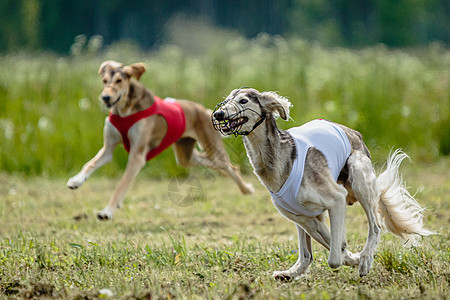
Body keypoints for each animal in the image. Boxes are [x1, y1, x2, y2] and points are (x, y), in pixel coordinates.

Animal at [68, 61, 255, 220]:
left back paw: (247, 189)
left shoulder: (137, 156)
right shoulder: (108, 148)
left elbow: (121, 184)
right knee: (207, 162)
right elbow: (90, 164)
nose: (105, 97)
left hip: (212, 148)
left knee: (231, 167)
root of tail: (205, 110)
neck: (124, 111)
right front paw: (76, 181)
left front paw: (107, 211)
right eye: (104, 80)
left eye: (119, 80)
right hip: (185, 155)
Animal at [213, 88, 434, 280]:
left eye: (243, 100)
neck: (278, 159)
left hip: (358, 175)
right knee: (307, 254)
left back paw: (365, 260)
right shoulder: (298, 214)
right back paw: (291, 273)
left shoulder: (336, 200)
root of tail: (354, 132)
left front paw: (353, 258)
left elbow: (334, 259)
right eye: (227, 99)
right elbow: (313, 247)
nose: (217, 114)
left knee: (376, 226)